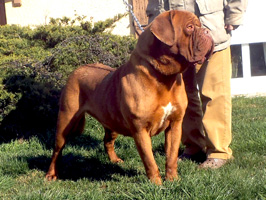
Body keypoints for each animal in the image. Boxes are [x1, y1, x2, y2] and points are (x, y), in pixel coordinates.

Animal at [45, 10, 212, 184]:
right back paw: (51, 174)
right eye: (190, 27)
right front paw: (157, 184)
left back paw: (114, 161)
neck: (164, 77)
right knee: (57, 149)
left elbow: (171, 156)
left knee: (107, 141)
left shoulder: (175, 124)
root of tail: (78, 69)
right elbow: (149, 160)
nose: (208, 31)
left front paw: (173, 180)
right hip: (65, 120)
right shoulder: (140, 129)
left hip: (111, 121)